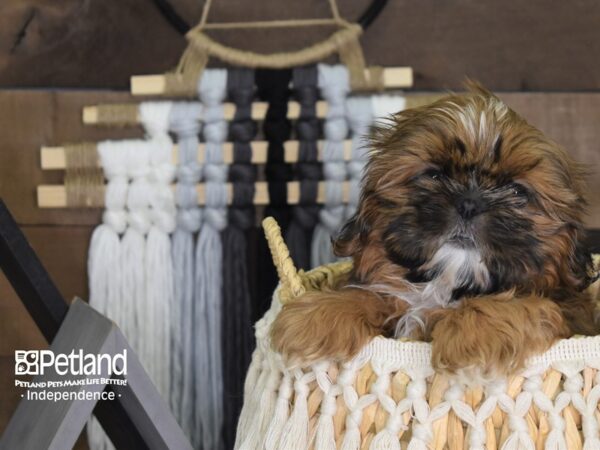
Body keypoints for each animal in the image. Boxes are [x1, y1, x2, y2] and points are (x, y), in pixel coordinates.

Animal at [274, 83, 600, 376]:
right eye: (434, 175)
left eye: (517, 192)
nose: (469, 203)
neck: (443, 284)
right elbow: (369, 293)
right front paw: (317, 315)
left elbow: (519, 304)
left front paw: (474, 336)